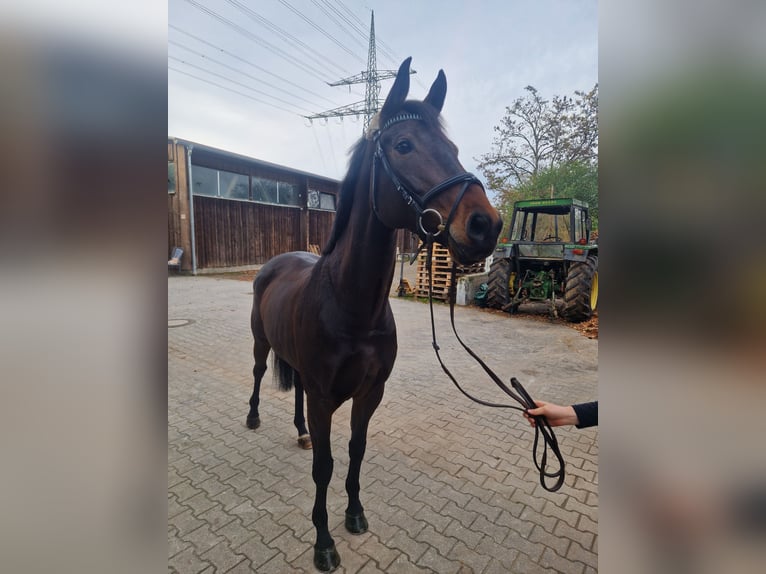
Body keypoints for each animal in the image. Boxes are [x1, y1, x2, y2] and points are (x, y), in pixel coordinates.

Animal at [245, 57, 502, 571]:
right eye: (403, 145)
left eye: (453, 148)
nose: (486, 224)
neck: (352, 307)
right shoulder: (326, 398)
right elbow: (324, 466)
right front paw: (324, 542)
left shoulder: (370, 393)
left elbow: (356, 451)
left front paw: (354, 515)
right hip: (262, 343)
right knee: (261, 373)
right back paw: (254, 417)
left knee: (296, 391)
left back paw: (300, 432)